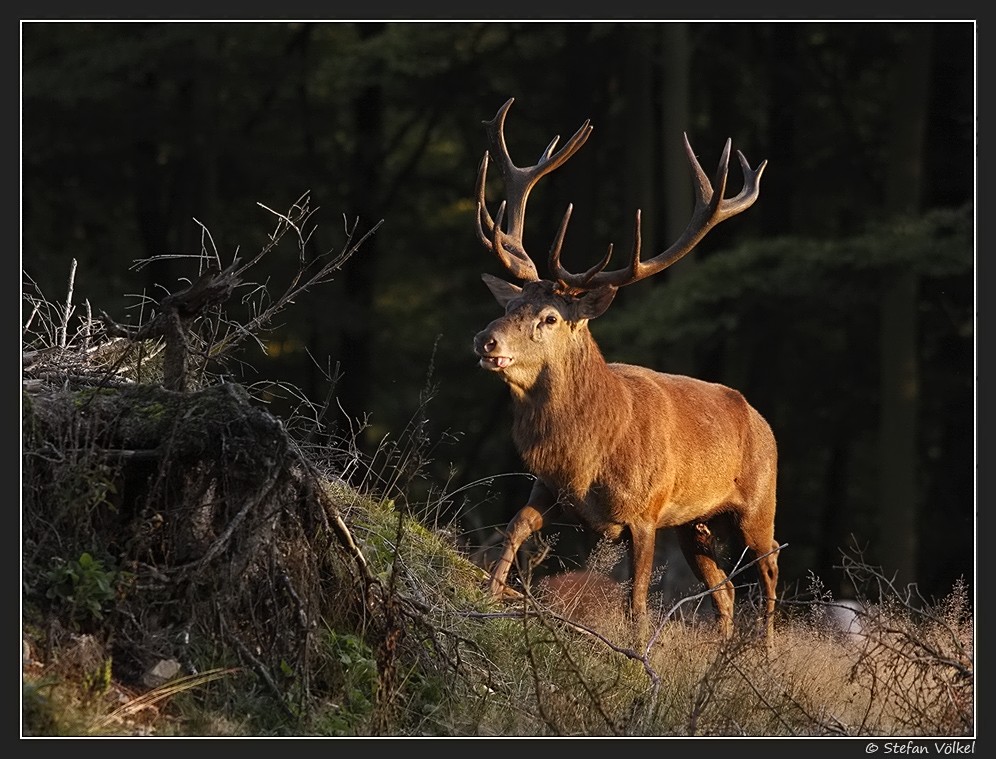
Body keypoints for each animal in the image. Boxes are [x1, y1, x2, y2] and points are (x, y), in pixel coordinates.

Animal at [470, 98, 784, 648]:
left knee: (769, 571)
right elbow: (513, 529)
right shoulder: (548, 487)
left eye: (549, 318)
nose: (486, 340)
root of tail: (763, 422)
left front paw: (638, 654)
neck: (586, 453)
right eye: (510, 305)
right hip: (695, 524)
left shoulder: (645, 512)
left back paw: (766, 653)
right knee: (723, 589)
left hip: (757, 503)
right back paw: (724, 654)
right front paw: (488, 596)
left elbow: (636, 601)